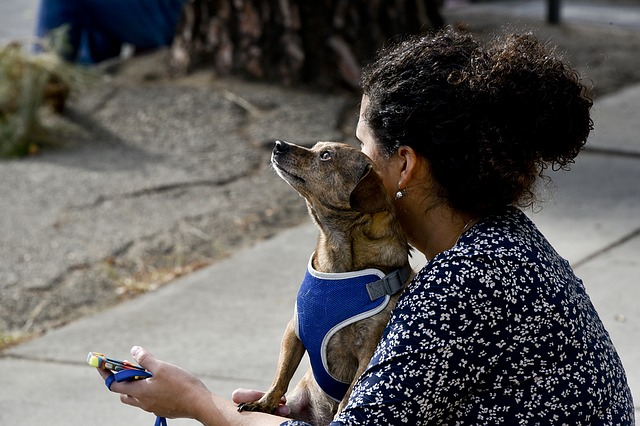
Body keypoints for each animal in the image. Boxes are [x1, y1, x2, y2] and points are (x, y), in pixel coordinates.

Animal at [238, 141, 412, 424]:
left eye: (326, 155)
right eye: (316, 147)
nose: (278, 144)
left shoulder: (368, 351)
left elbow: (349, 394)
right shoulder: (293, 332)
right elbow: (281, 375)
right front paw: (264, 404)